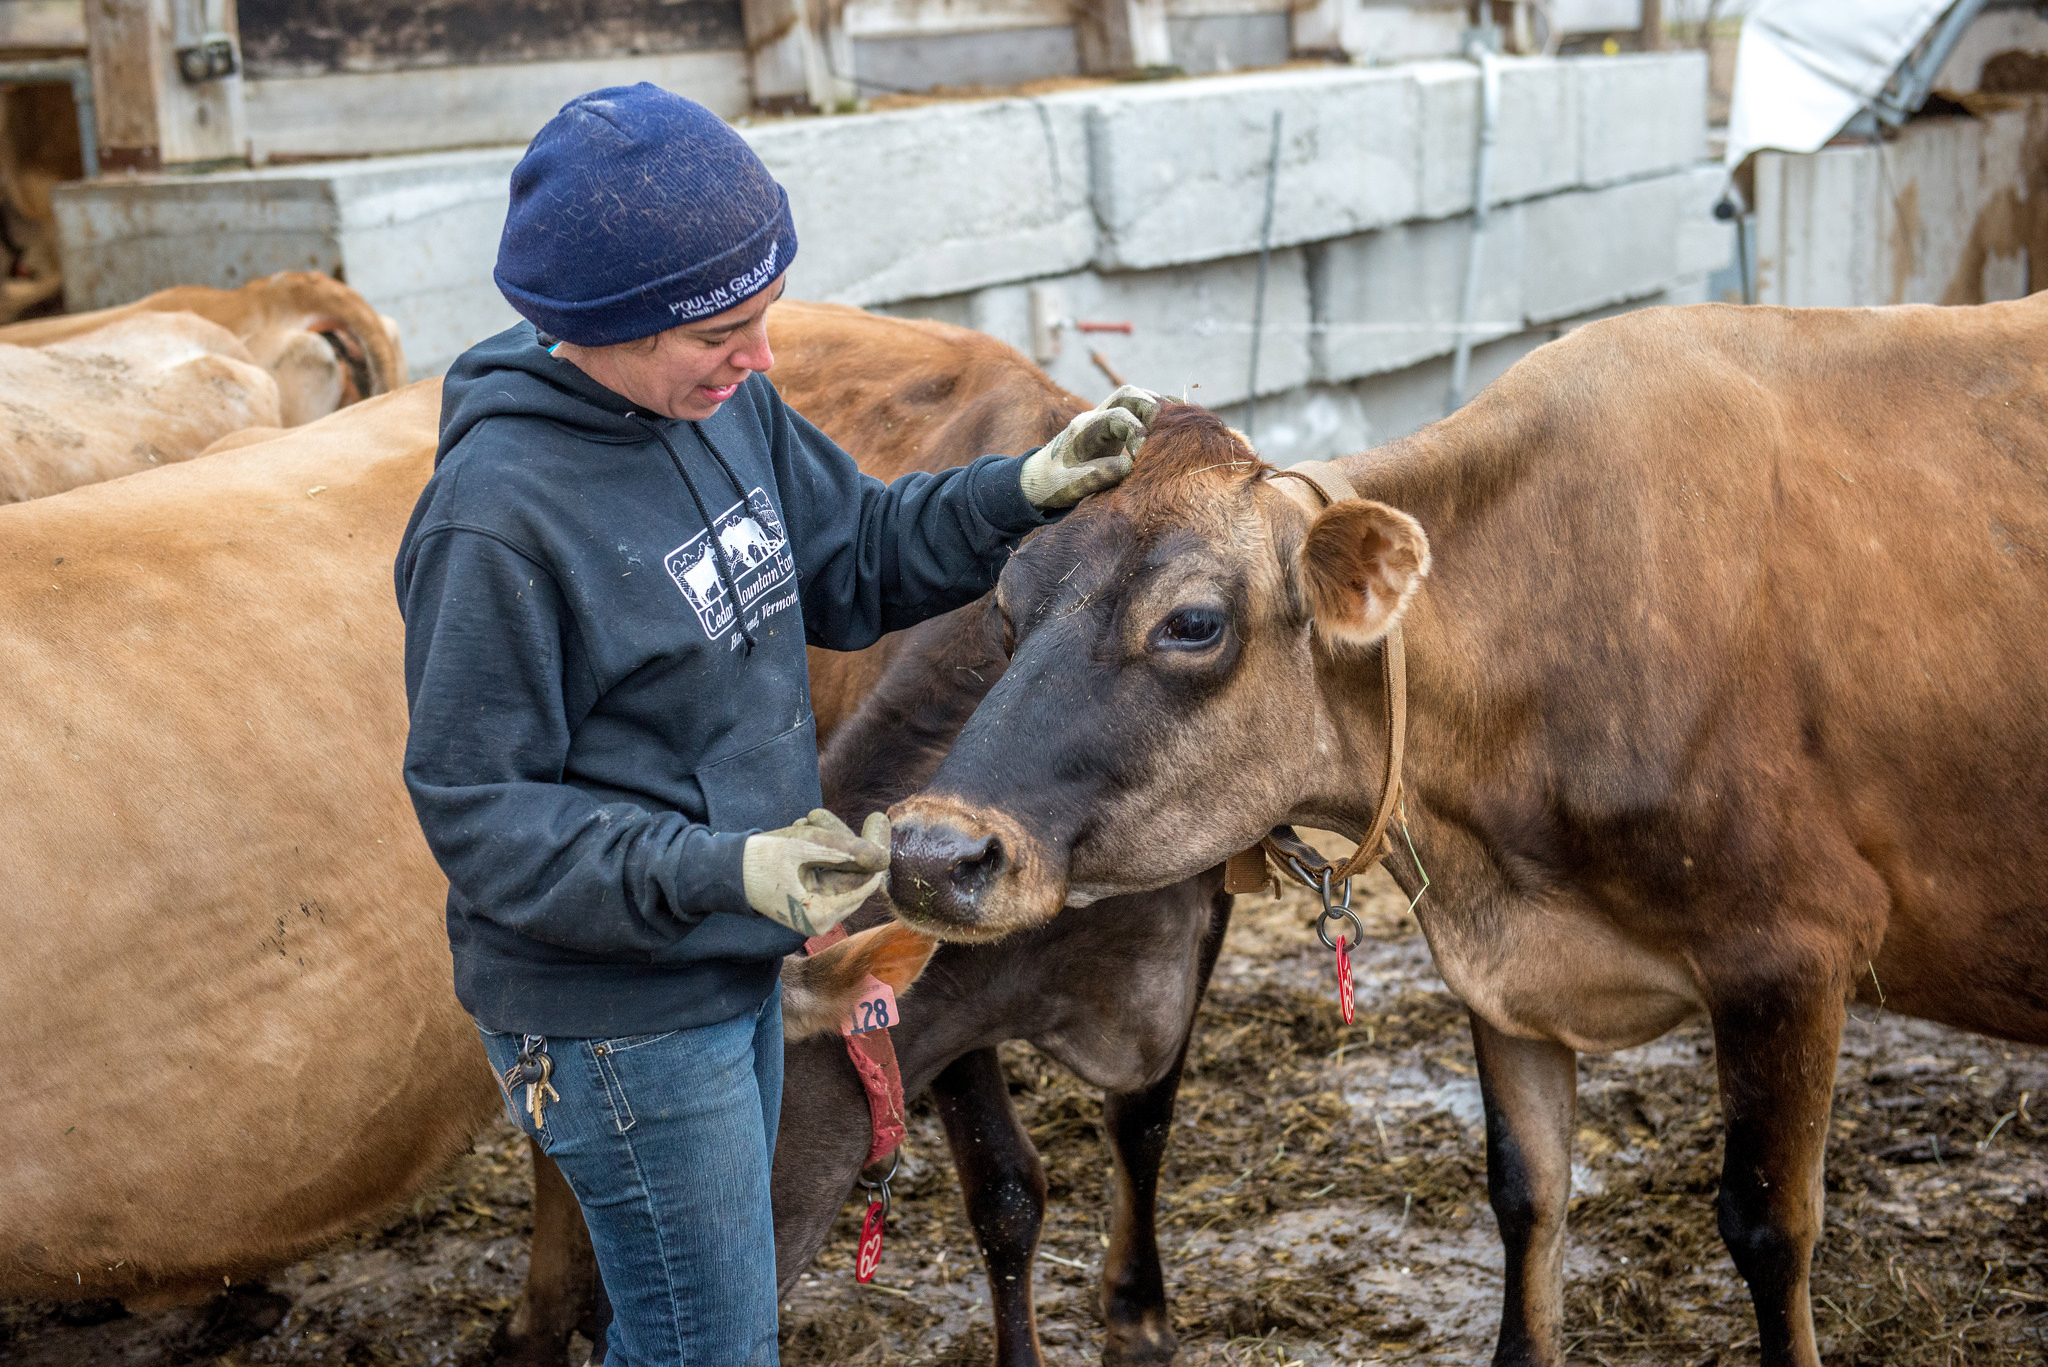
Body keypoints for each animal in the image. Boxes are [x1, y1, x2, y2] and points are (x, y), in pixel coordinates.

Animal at [897, 297, 2048, 1367]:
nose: (928, 853)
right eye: (1004, 609)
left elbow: (1768, 1226)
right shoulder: (1502, 976)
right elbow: (1526, 1192)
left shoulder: (1791, 954)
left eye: (1192, 622)